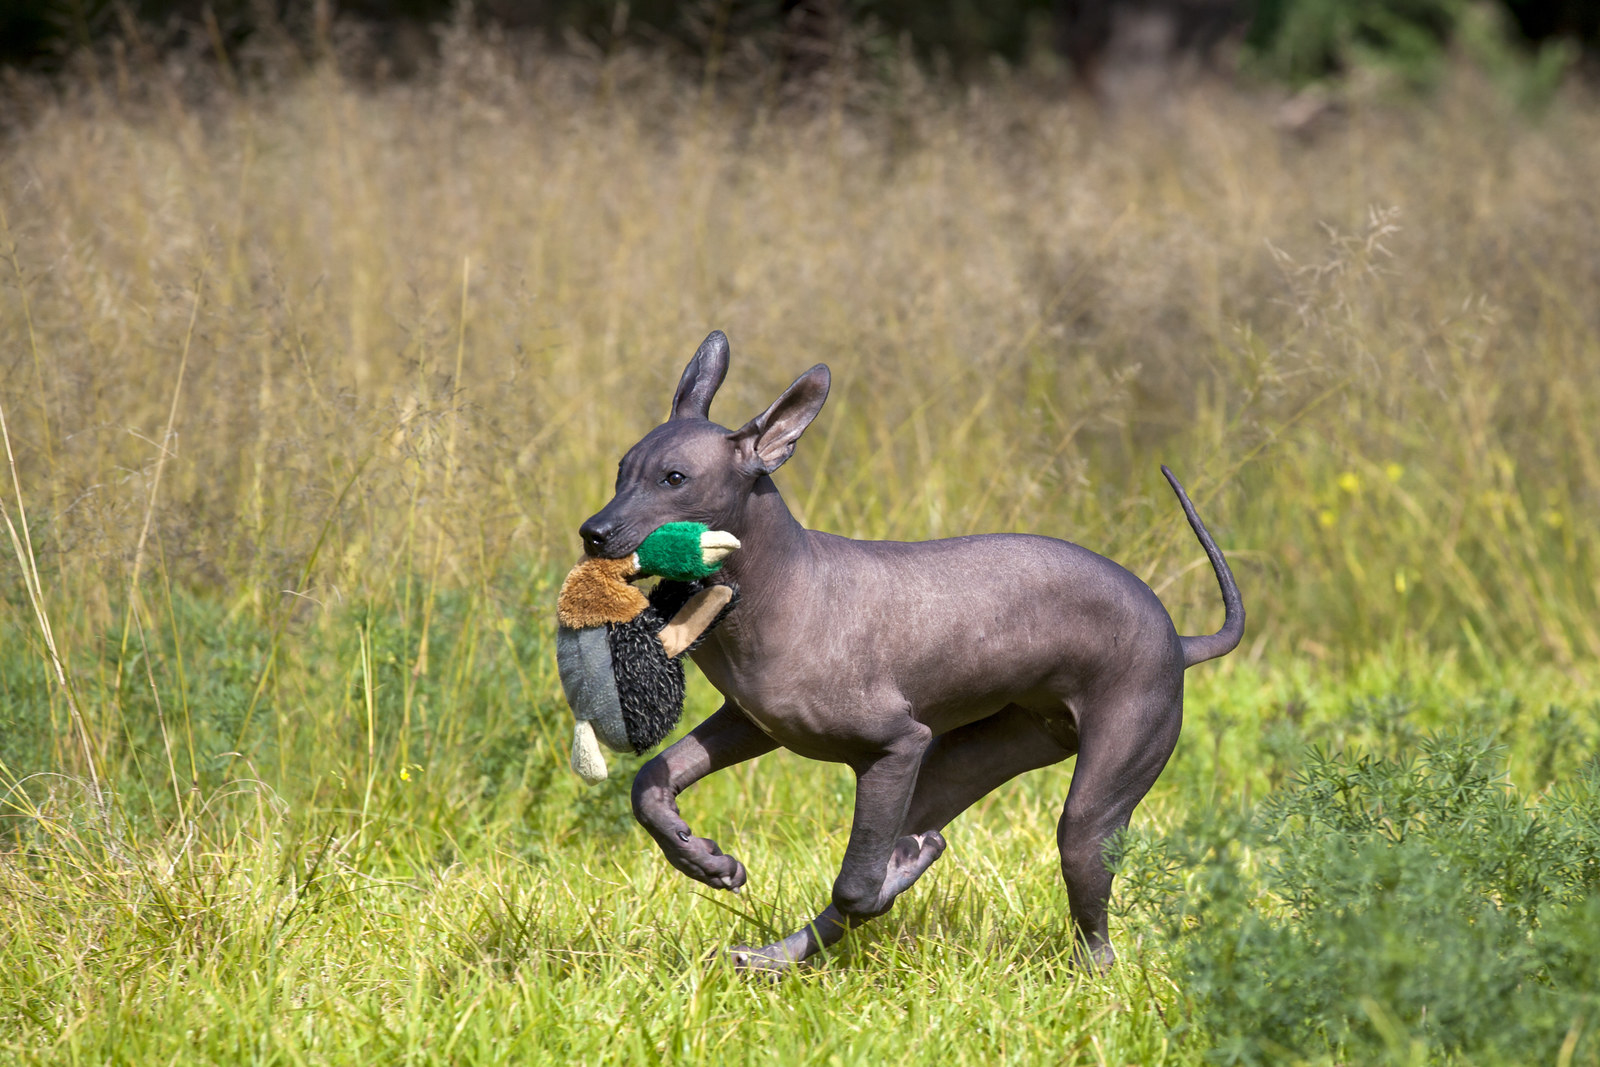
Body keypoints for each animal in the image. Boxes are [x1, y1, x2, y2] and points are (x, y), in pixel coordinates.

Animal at [582, 334, 1241, 979]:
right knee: (912, 837)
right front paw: (703, 860)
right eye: (621, 471)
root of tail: (1180, 640)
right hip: (969, 757)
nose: (593, 532)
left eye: (674, 479)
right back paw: (771, 957)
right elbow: (648, 782)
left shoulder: (897, 746)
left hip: (1091, 790)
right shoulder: (753, 725)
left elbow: (856, 888)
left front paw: (885, 879)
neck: (775, 583)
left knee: (1088, 918)